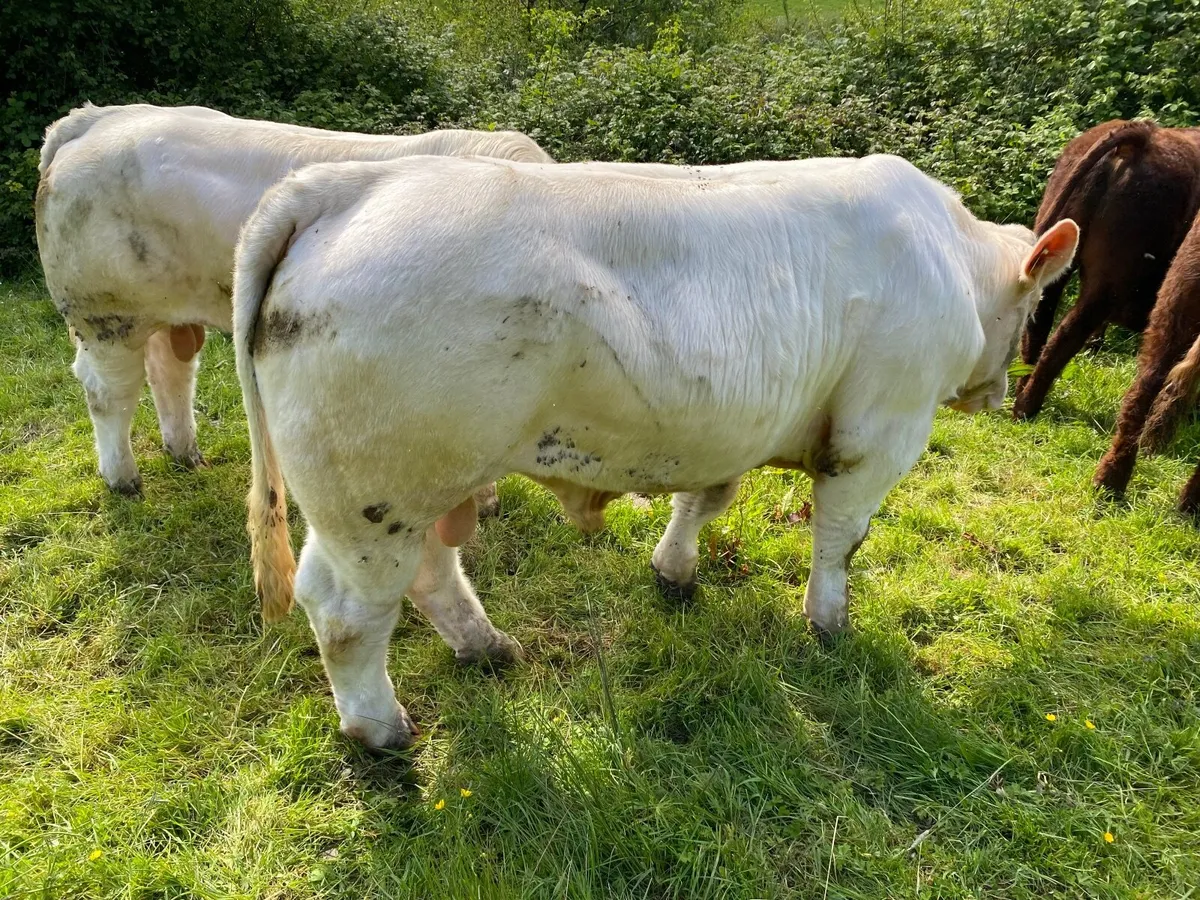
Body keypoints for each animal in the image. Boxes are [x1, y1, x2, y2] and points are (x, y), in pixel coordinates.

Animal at [35, 103, 552, 512]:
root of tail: (98, 117)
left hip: (164, 309)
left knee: (170, 371)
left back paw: (185, 454)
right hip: (104, 313)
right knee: (108, 392)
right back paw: (124, 479)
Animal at [232, 154, 1078, 748]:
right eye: (1039, 299)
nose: (1003, 392)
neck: (949, 258)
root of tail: (349, 182)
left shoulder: (732, 426)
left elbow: (706, 498)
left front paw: (675, 570)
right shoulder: (879, 433)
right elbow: (842, 538)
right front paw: (829, 624)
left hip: (417, 486)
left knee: (427, 574)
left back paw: (487, 646)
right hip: (378, 493)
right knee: (347, 611)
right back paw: (379, 729)